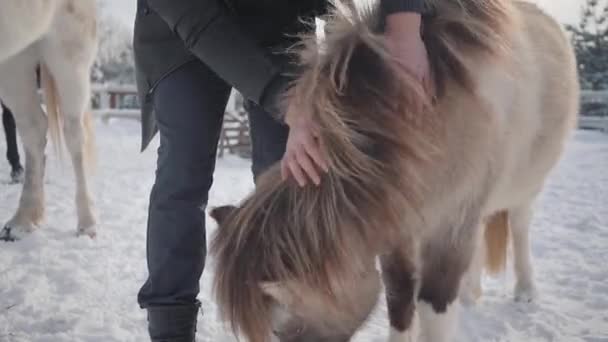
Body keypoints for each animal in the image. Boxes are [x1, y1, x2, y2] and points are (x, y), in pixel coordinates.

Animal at [0, 0, 97, 240]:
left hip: (67, 51)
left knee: (74, 136)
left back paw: (87, 223)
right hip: (14, 59)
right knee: (33, 127)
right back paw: (22, 220)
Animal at [210, 1, 580, 340]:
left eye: (279, 330)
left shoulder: (451, 221)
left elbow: (433, 304)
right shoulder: (396, 222)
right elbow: (400, 297)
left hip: (523, 186)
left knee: (519, 225)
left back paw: (525, 290)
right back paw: (470, 293)